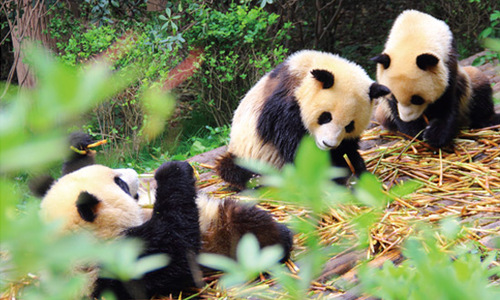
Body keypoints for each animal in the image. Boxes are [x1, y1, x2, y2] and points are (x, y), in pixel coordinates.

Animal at [41, 162, 294, 298]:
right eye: (119, 183)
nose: (133, 171)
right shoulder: (120, 265)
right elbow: (175, 251)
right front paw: (172, 169)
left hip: (216, 221)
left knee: (241, 218)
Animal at [215, 49, 390, 190]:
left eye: (349, 126)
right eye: (326, 116)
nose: (328, 144)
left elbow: (348, 148)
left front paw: (358, 171)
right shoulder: (284, 109)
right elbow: (299, 149)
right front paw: (339, 178)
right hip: (247, 154)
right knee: (233, 169)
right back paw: (257, 180)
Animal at [370, 9, 498, 148]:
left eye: (417, 99)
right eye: (394, 97)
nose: (408, 118)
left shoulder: (449, 63)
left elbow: (446, 100)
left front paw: (434, 135)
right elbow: (394, 109)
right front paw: (416, 132)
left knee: (479, 89)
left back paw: (488, 121)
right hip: (382, 112)